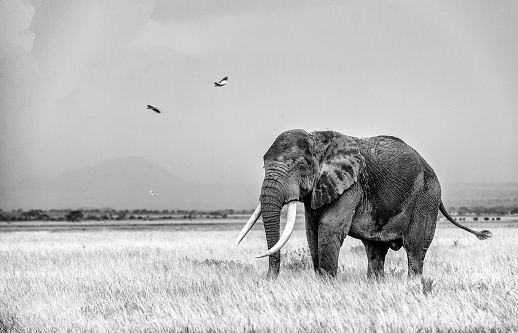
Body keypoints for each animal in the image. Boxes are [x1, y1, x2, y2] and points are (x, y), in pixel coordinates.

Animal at [238, 130, 494, 278]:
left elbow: (329, 228)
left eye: (300, 166)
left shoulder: (351, 184)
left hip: (426, 197)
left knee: (415, 249)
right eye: (263, 165)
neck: (319, 139)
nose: (270, 280)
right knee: (375, 250)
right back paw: (375, 284)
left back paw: (413, 286)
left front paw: (326, 285)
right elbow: (312, 232)